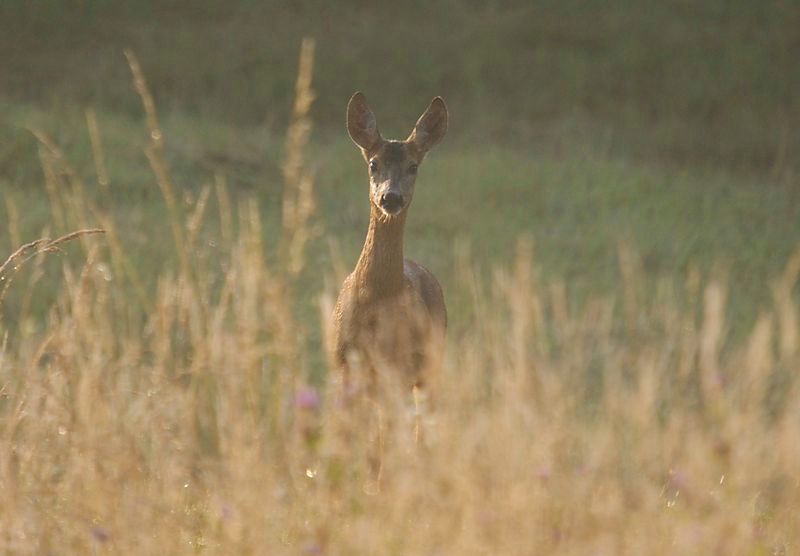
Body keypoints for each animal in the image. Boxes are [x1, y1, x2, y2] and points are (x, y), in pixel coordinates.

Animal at [332, 92, 450, 396]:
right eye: (373, 164)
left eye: (413, 166)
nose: (391, 197)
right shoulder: (342, 366)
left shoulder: (400, 369)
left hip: (429, 364)